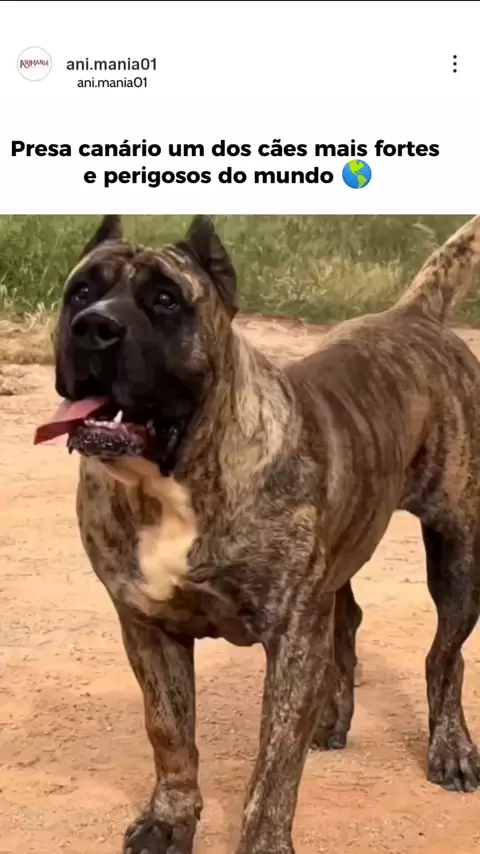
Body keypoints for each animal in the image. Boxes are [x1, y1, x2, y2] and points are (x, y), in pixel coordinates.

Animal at [39, 213, 480, 854]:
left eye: (165, 301)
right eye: (81, 291)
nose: (94, 327)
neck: (173, 480)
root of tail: (413, 316)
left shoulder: (291, 635)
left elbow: (274, 768)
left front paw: (264, 840)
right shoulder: (148, 628)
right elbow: (169, 732)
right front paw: (169, 819)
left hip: (457, 555)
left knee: (445, 657)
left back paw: (451, 749)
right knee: (347, 622)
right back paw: (332, 716)